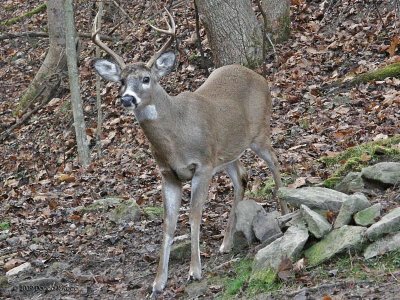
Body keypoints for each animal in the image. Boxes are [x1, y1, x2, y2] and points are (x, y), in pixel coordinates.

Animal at [91, 8, 288, 296]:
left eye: (146, 79)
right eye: (122, 80)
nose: (127, 98)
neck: (176, 138)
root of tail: (260, 77)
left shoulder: (202, 165)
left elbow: (194, 215)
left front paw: (194, 271)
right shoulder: (168, 175)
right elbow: (168, 224)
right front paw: (158, 282)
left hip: (259, 132)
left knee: (274, 162)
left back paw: (284, 212)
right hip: (227, 151)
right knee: (242, 176)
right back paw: (226, 243)